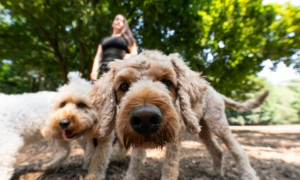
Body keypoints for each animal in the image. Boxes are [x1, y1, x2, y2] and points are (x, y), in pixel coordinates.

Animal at [88, 50, 268, 180]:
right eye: (124, 86)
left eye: (167, 82)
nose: (145, 118)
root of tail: (214, 91)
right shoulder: (138, 143)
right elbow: (135, 164)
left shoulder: (174, 143)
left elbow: (169, 168)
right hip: (202, 129)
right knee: (217, 150)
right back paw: (216, 172)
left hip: (218, 123)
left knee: (238, 151)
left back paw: (249, 175)